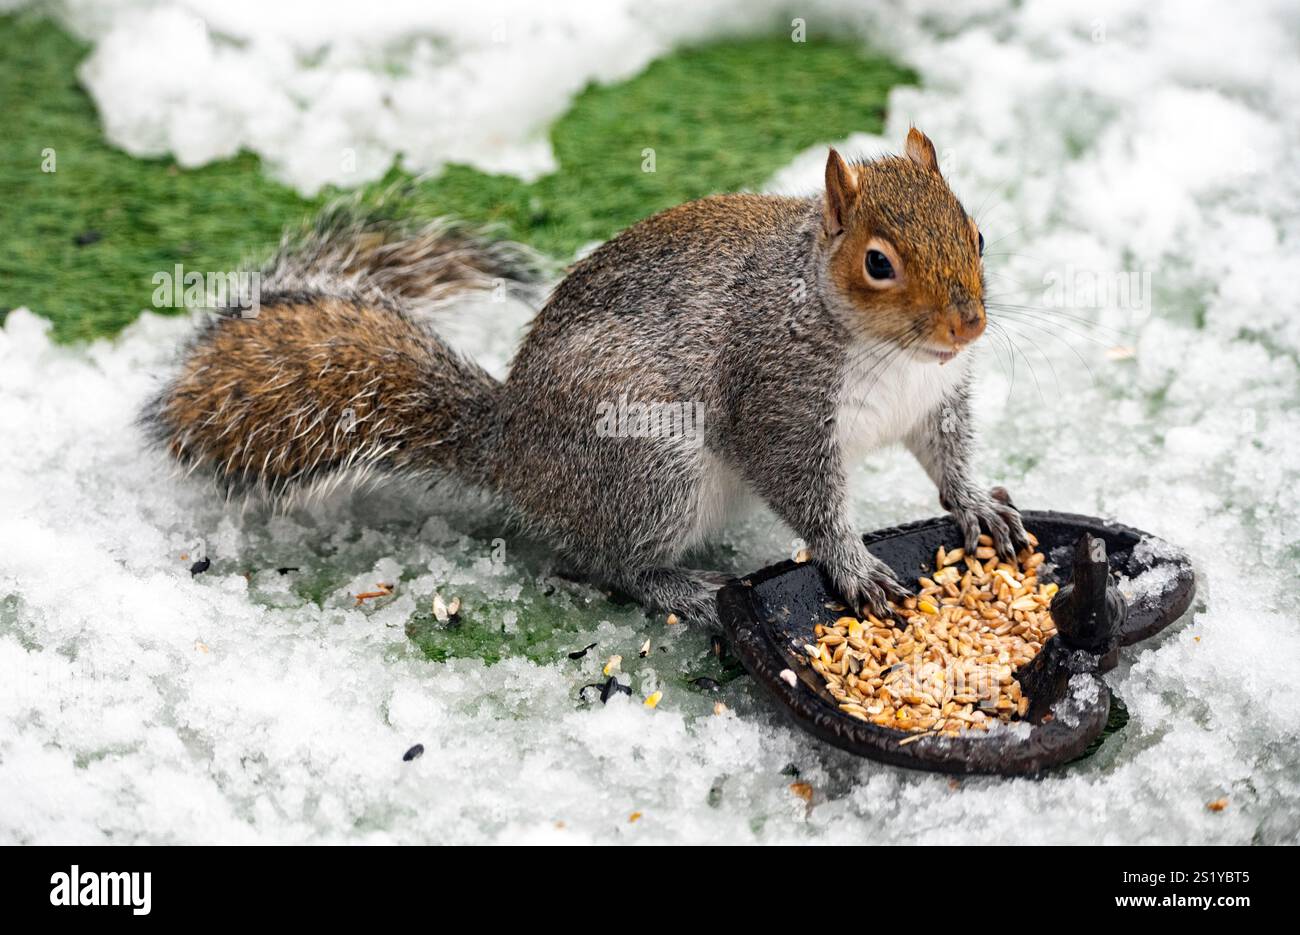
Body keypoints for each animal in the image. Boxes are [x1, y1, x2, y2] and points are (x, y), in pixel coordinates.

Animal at [142, 130, 1029, 629]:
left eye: (978, 234)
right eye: (878, 263)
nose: (968, 325)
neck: (890, 351)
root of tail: (510, 447)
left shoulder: (934, 400)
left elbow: (947, 454)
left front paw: (978, 504)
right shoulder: (778, 397)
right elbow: (806, 492)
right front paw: (853, 565)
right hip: (649, 464)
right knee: (610, 563)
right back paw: (686, 588)